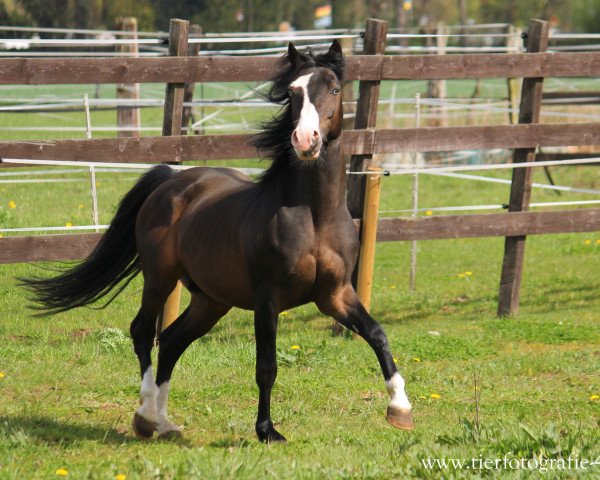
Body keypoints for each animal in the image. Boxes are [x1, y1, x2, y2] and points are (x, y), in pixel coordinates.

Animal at [18, 41, 412, 442]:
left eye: (333, 88)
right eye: (292, 92)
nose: (305, 140)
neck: (314, 216)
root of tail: (170, 181)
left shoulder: (334, 294)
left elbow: (377, 334)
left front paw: (400, 409)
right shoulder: (268, 298)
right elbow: (266, 366)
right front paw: (267, 431)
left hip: (211, 300)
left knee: (171, 340)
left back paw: (164, 422)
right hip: (160, 276)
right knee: (143, 331)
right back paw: (145, 416)